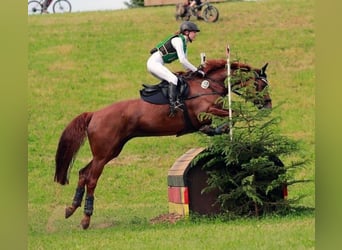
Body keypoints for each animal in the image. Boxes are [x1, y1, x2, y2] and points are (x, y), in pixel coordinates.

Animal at [54, 58, 272, 229]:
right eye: (261, 86)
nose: (268, 106)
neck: (209, 84)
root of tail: (94, 114)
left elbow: (228, 118)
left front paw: (218, 131)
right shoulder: (205, 112)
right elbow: (232, 115)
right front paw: (221, 130)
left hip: (110, 151)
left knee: (83, 173)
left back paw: (71, 209)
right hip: (103, 153)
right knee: (91, 179)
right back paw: (85, 219)